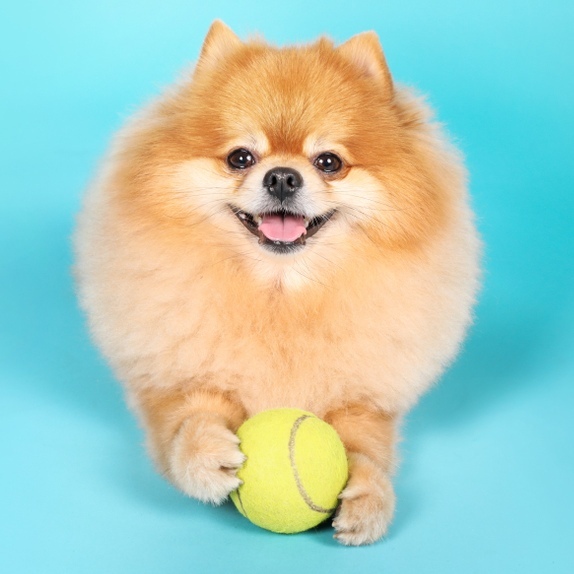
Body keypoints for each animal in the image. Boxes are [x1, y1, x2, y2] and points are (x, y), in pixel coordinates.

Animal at [74, 20, 484, 548]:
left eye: (329, 162)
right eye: (240, 157)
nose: (284, 177)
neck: (278, 294)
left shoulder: (362, 401)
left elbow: (368, 448)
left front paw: (369, 496)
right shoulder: (177, 376)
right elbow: (187, 415)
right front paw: (204, 454)